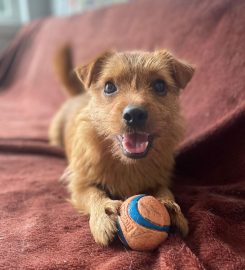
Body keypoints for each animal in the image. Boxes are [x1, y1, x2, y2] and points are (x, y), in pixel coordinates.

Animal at [49, 47, 195, 247]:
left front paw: (171, 207)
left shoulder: (160, 180)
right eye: (109, 87)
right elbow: (94, 194)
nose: (135, 114)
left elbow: (166, 191)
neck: (127, 164)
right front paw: (103, 214)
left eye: (160, 85)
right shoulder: (79, 184)